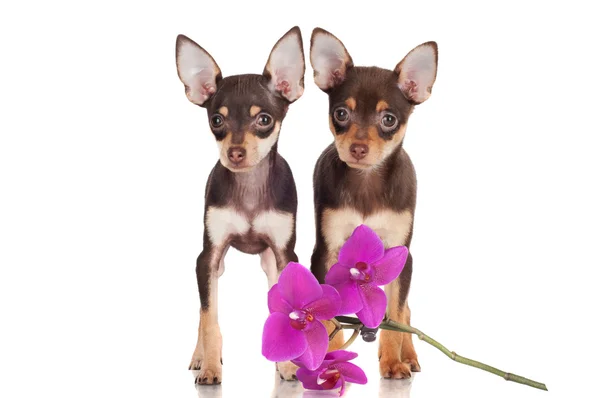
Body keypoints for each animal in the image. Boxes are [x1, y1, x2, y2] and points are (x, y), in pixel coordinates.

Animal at [173, 26, 304, 384]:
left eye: (264, 120)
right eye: (217, 120)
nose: (234, 153)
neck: (249, 190)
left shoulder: (284, 255)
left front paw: (288, 366)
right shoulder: (208, 258)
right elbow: (209, 318)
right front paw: (210, 366)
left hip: (270, 262)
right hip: (214, 266)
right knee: (205, 312)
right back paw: (200, 356)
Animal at [308, 28, 438, 380]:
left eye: (389, 119)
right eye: (341, 113)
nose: (358, 147)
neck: (367, 181)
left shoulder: (400, 256)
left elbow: (395, 314)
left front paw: (393, 361)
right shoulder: (326, 253)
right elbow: (329, 318)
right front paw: (329, 360)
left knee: (405, 311)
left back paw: (409, 355)